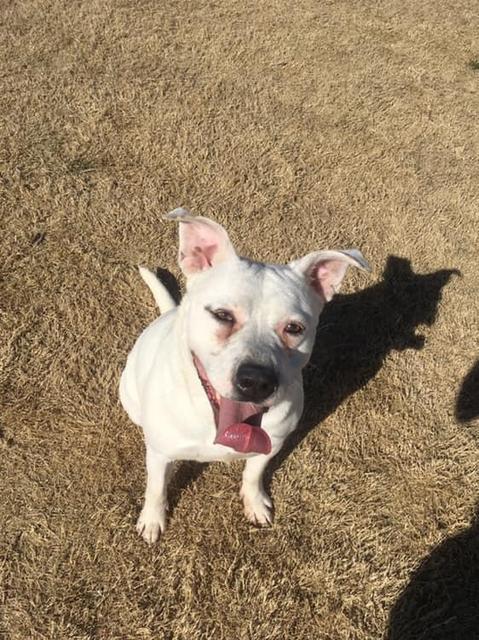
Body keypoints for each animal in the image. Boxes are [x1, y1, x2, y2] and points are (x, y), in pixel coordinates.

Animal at [121, 209, 372, 540]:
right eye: (222, 315)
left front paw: (255, 503)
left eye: (295, 328)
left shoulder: (271, 444)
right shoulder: (160, 455)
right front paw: (152, 519)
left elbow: (254, 474)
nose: (256, 382)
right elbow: (156, 488)